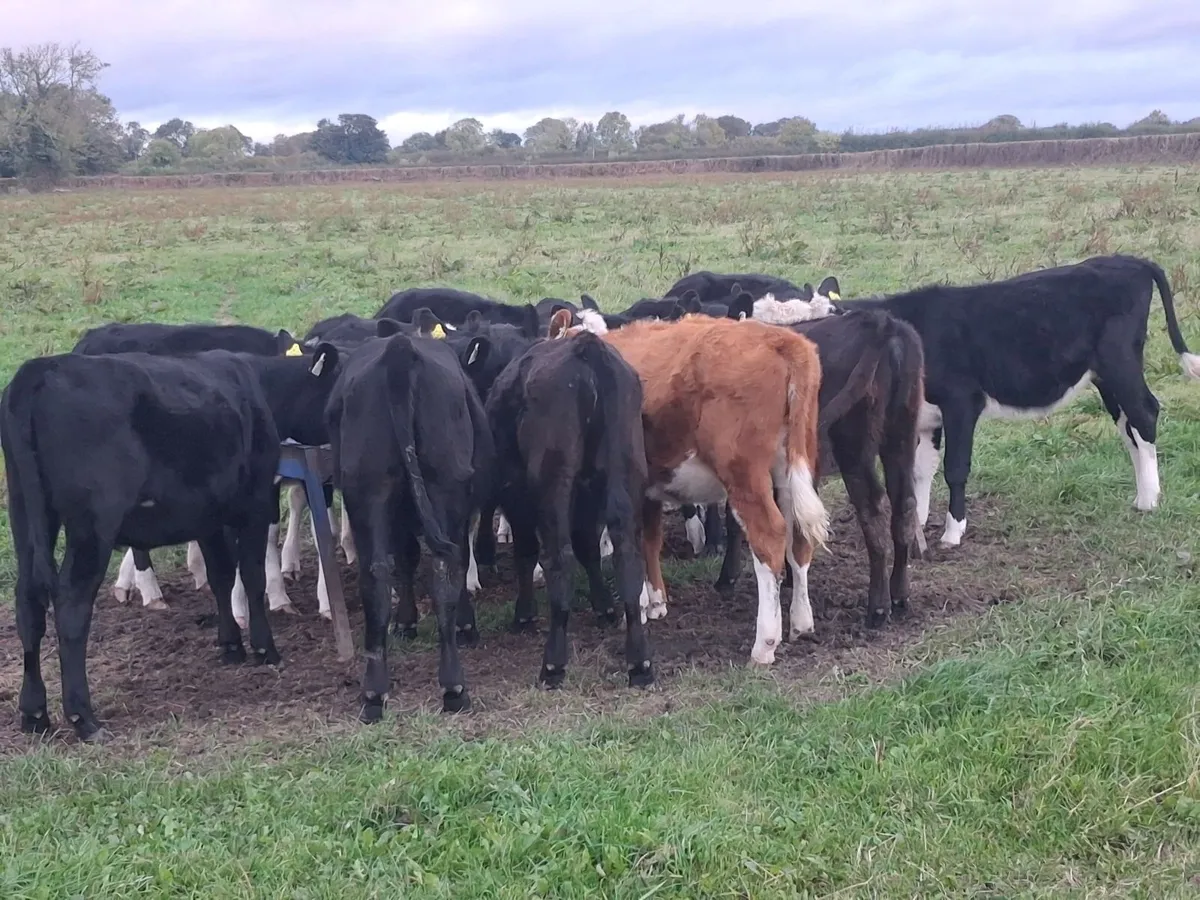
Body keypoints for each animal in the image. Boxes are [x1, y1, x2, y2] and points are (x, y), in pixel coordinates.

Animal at [3, 344, 336, 741]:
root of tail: (43, 368)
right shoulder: (254, 502)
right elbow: (251, 578)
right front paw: (264, 648)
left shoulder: (209, 514)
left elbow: (222, 577)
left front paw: (230, 645)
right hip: (92, 526)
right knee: (70, 605)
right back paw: (84, 718)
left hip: (26, 515)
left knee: (28, 602)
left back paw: (34, 713)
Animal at [325, 320, 494, 722]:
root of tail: (399, 351)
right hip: (431, 487)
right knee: (435, 569)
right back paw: (447, 688)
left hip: (376, 491)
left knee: (390, 572)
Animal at [486, 309, 652, 687]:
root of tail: (586, 349)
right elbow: (588, 546)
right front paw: (604, 606)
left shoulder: (514, 488)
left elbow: (526, 550)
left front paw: (524, 614)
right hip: (624, 471)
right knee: (626, 555)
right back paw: (639, 662)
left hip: (553, 482)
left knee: (558, 557)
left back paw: (553, 663)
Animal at [565, 313, 829, 666]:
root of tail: (779, 339)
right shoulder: (647, 487)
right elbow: (649, 540)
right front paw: (655, 601)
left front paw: (640, 607)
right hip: (793, 468)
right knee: (798, 538)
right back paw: (801, 621)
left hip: (745, 476)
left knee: (769, 537)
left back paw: (764, 644)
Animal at [832, 254, 1200, 547]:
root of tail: (1131, 260)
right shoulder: (926, 415)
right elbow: (921, 471)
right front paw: (916, 524)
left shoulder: (961, 402)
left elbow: (955, 468)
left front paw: (953, 533)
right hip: (1104, 375)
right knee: (1127, 425)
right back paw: (1141, 496)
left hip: (1120, 361)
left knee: (1144, 413)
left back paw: (1150, 499)